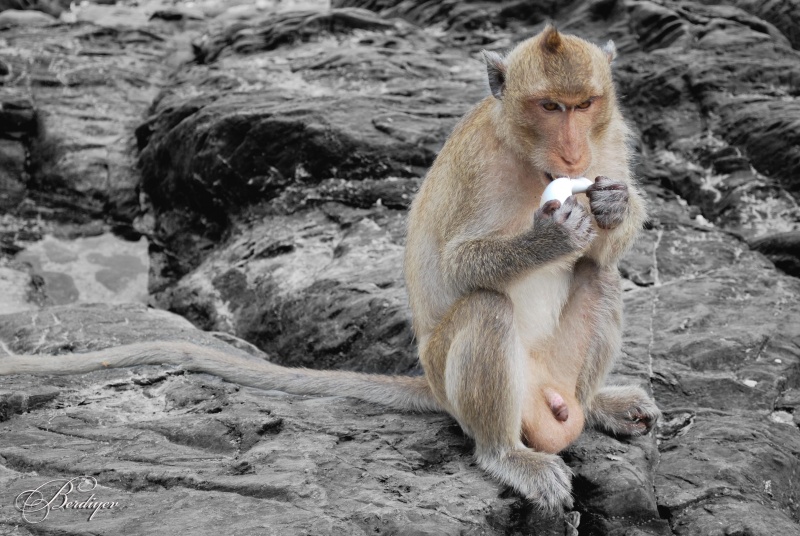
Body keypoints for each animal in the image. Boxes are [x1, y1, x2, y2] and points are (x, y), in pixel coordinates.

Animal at [0, 25, 659, 514]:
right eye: (549, 106)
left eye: (584, 105)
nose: (573, 151)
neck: (529, 157)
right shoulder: (481, 164)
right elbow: (457, 268)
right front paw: (552, 235)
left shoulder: (611, 138)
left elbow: (605, 250)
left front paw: (612, 207)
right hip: (453, 378)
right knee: (485, 307)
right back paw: (505, 455)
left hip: (555, 378)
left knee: (601, 278)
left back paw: (599, 405)